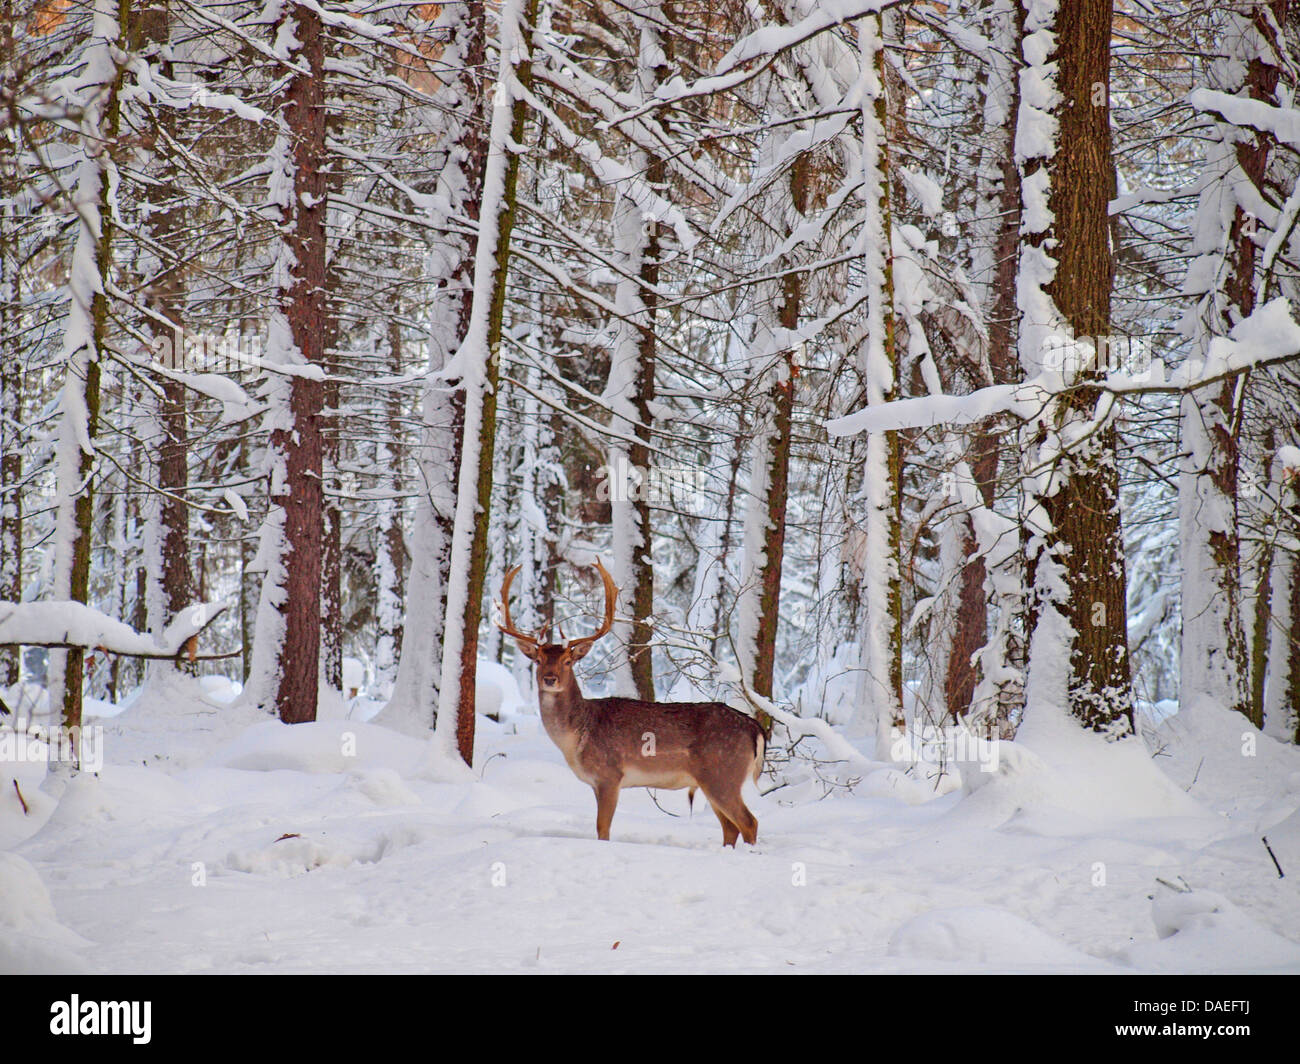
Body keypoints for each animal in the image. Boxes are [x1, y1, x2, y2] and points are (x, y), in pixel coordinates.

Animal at [493, 556, 759, 848]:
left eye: (568, 661)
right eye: (538, 659)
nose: (550, 679)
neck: (577, 737)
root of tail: (755, 729)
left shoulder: (610, 774)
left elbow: (602, 828)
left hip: (722, 773)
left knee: (749, 822)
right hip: (711, 780)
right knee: (730, 828)